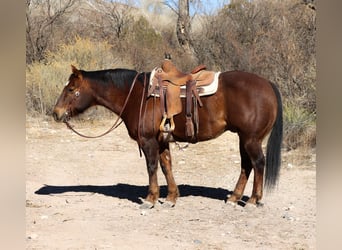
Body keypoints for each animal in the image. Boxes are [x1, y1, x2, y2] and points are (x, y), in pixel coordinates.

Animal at [54, 64, 284, 207]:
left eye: (71, 89)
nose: (56, 113)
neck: (137, 95)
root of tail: (268, 84)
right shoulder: (162, 141)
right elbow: (166, 166)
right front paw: (171, 197)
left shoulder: (148, 141)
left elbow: (152, 167)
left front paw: (150, 198)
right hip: (243, 138)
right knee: (246, 165)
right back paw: (234, 198)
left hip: (251, 139)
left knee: (258, 163)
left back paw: (253, 200)